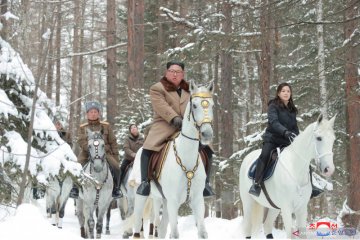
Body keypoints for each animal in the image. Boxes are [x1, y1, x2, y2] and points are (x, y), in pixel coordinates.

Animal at [133, 81, 214, 238]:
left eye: (212, 105)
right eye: (195, 105)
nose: (207, 134)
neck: (186, 158)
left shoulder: (197, 200)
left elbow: (202, 232)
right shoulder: (173, 201)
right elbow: (175, 234)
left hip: (163, 200)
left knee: (162, 229)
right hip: (144, 198)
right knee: (138, 225)